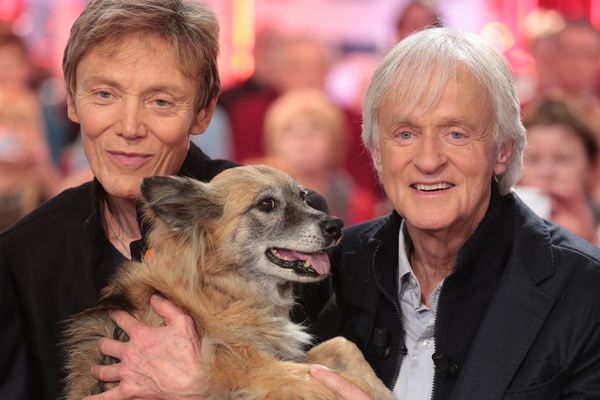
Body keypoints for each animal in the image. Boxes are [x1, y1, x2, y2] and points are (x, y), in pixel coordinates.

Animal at [63, 165, 394, 400]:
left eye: (302, 196)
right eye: (267, 204)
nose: (336, 226)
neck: (224, 291)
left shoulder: (282, 357)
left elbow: (344, 347)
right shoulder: (256, 372)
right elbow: (335, 379)